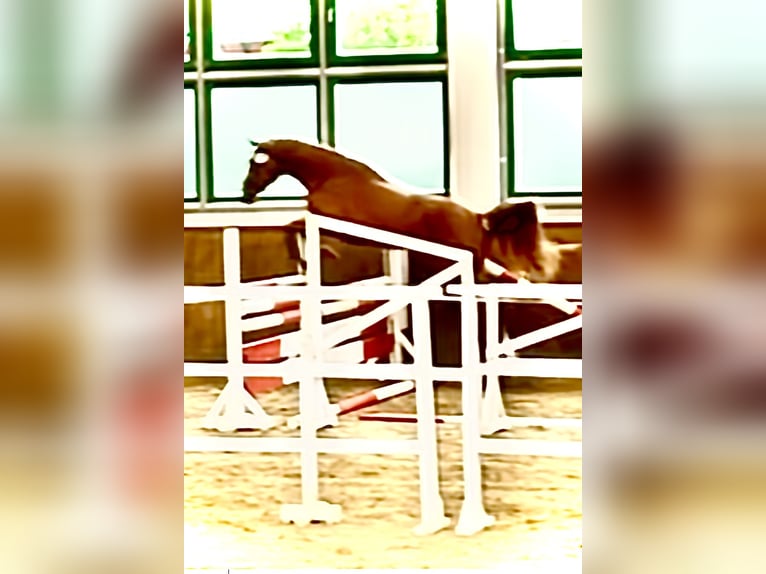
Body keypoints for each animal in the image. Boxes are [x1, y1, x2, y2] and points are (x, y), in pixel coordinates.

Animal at [241, 139, 560, 281]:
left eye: (254, 163)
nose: (245, 194)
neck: (329, 176)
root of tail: (477, 217)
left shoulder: (329, 222)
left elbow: (292, 227)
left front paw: (315, 257)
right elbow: (295, 228)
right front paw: (309, 260)